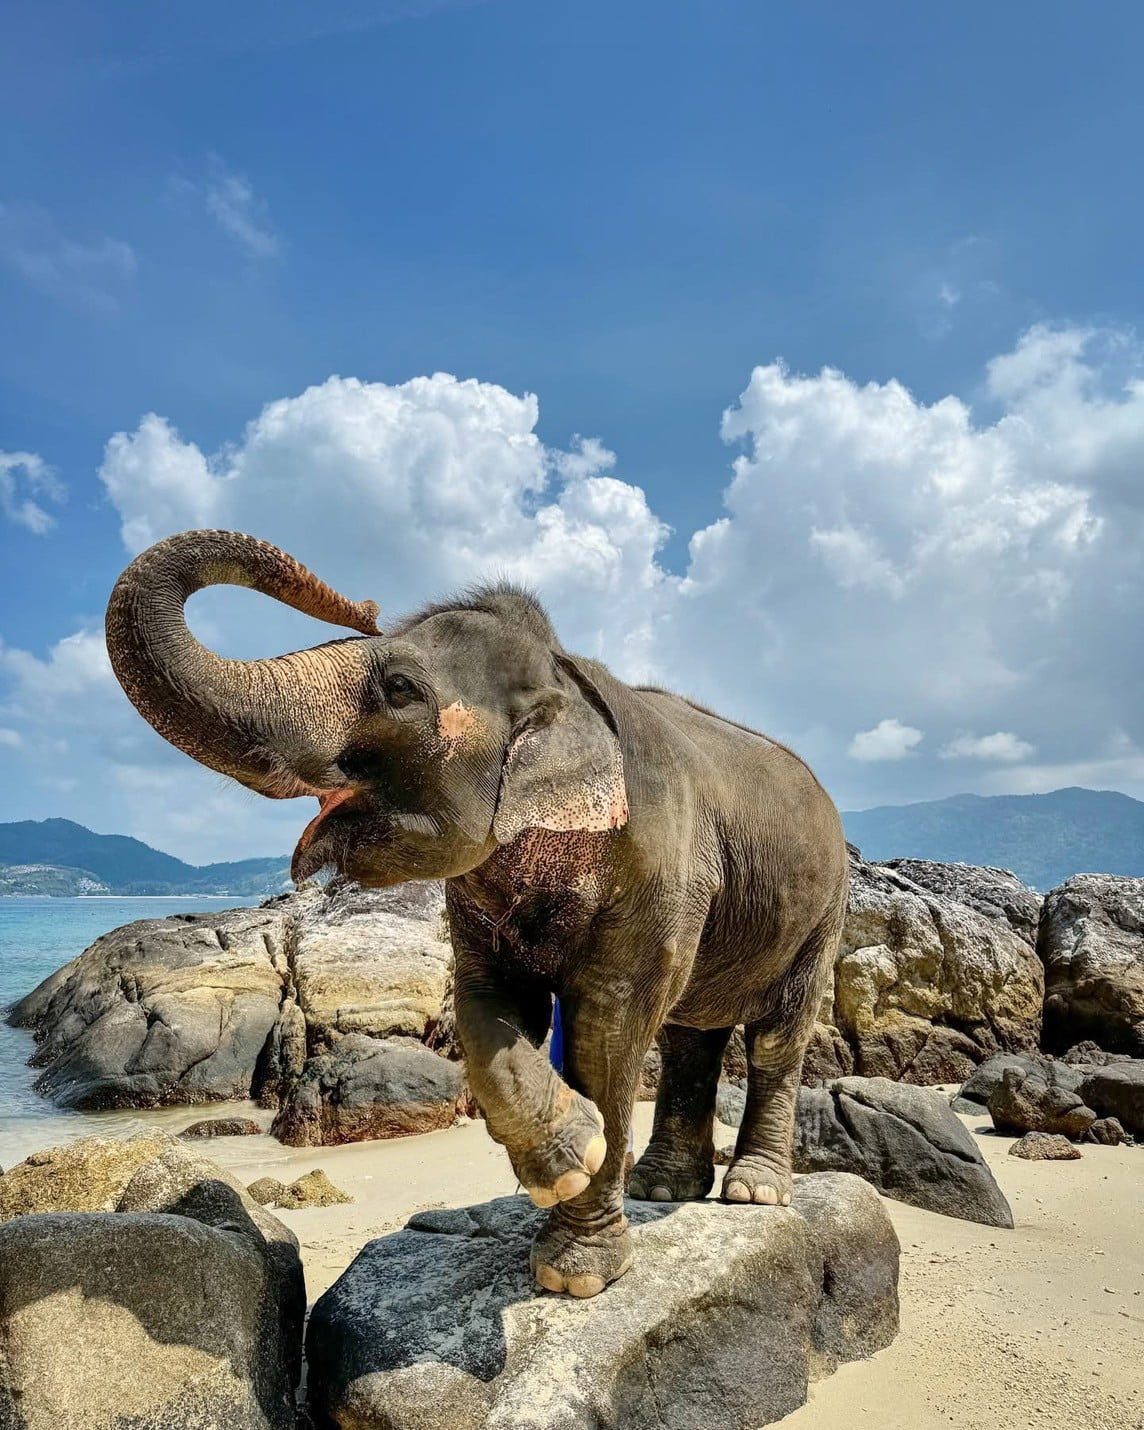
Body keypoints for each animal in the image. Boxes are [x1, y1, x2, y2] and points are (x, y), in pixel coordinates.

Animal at [106, 529, 849, 1298]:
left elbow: (609, 1025)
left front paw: (574, 1273)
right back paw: (661, 1189)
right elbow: (487, 1003)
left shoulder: (661, 864)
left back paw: (754, 1194)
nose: (365, 605)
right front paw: (571, 1157)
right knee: (688, 1037)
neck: (565, 674)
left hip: (825, 910)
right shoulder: (476, 896)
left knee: (775, 1037)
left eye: (400, 689)